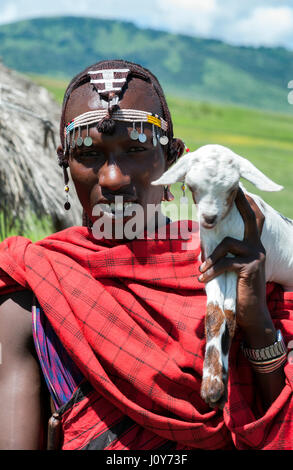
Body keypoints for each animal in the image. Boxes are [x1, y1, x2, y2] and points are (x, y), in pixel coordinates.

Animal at [151, 145, 292, 410]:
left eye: (232, 188)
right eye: (191, 186)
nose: (208, 218)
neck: (222, 229)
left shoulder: (237, 262)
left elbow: (230, 311)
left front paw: (216, 385)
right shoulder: (211, 264)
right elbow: (216, 313)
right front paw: (213, 383)